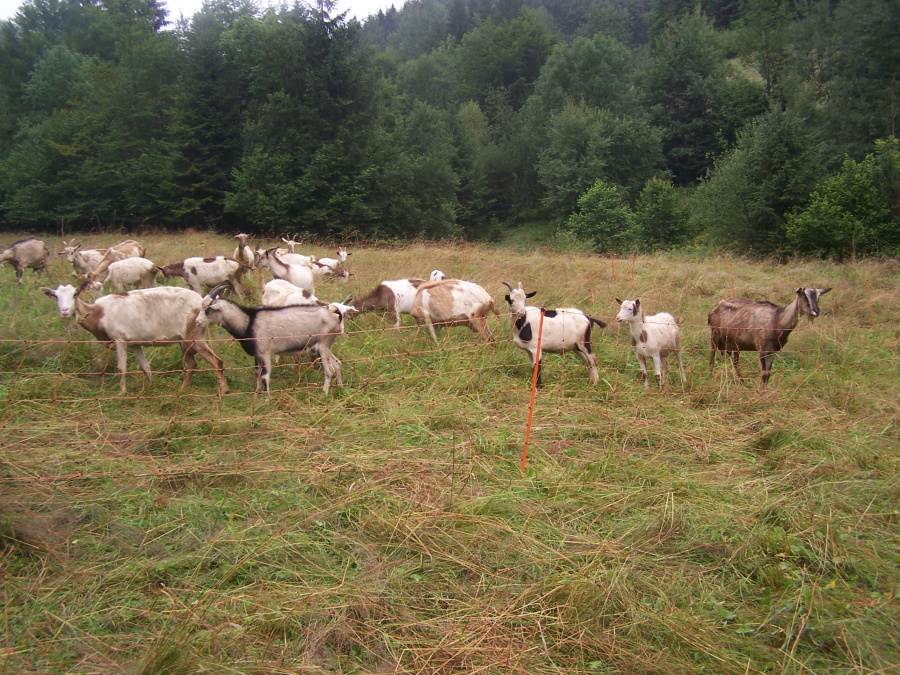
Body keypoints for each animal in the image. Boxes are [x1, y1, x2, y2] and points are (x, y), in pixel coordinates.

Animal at [41, 284, 229, 396]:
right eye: (56, 296)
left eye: (75, 294)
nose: (65, 311)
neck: (99, 313)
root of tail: (203, 302)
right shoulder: (135, 344)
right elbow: (146, 367)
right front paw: (150, 387)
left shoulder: (120, 340)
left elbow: (121, 368)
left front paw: (121, 393)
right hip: (184, 341)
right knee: (192, 364)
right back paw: (183, 389)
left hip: (195, 337)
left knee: (217, 361)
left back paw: (224, 390)